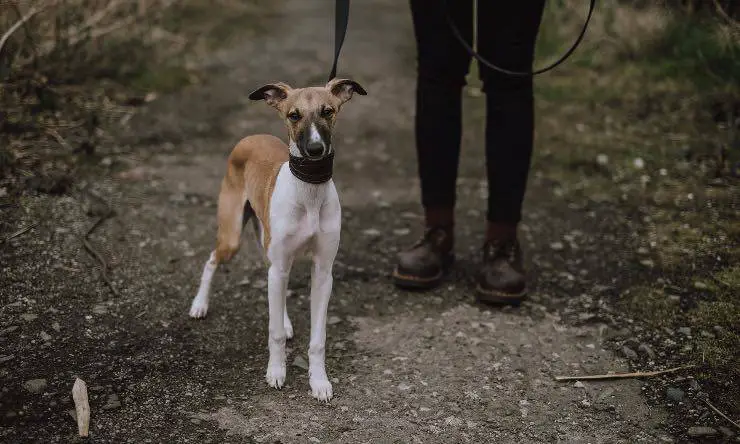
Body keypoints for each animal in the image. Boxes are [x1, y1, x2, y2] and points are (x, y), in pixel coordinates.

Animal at [188, 77, 368, 402]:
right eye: (293, 115)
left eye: (328, 111)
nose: (315, 149)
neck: (309, 191)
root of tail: (251, 136)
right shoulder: (281, 263)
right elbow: (273, 333)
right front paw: (276, 372)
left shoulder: (323, 272)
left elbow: (318, 338)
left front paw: (319, 381)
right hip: (233, 236)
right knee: (212, 260)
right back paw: (199, 304)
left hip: (270, 249)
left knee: (272, 282)